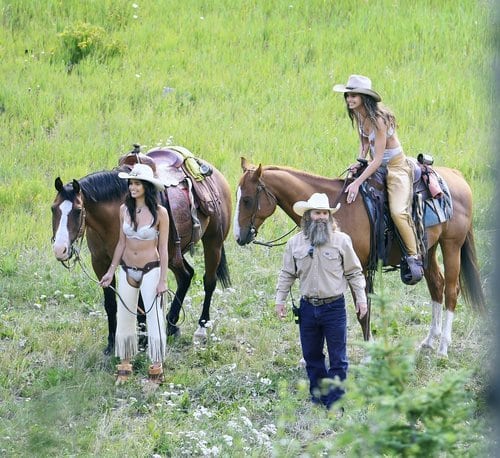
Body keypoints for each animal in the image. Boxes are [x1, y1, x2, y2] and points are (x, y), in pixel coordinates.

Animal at [51, 154, 231, 354]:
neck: (113, 219)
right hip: (172, 255)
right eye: (53, 208)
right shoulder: (100, 263)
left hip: (213, 242)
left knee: (209, 281)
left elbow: (142, 305)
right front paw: (112, 342)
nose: (60, 249)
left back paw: (201, 328)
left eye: (78, 210)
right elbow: (111, 304)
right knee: (186, 275)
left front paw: (143, 341)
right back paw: (171, 325)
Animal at [235, 157, 488, 358]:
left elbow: (362, 312)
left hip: (451, 245)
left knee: (451, 291)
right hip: (429, 249)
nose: (238, 237)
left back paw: (443, 348)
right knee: (437, 285)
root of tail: (457, 177)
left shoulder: (358, 269)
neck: (333, 208)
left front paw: (368, 355)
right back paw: (429, 341)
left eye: (247, 199)